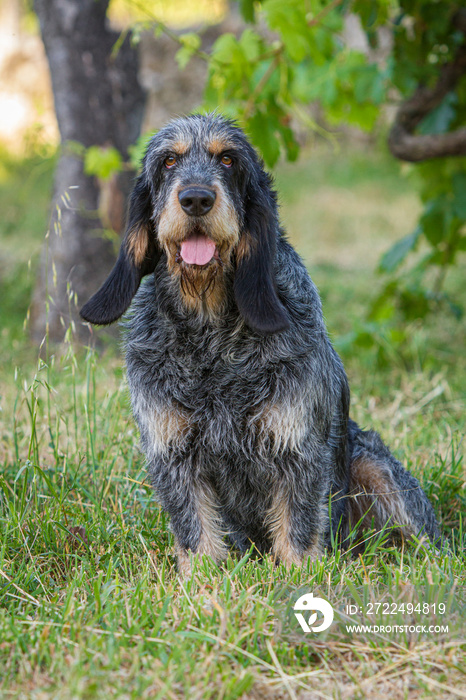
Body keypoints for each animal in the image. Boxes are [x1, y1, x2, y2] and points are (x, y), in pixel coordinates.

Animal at [80, 113, 440, 576]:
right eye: (168, 161)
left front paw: (299, 579)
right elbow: (195, 531)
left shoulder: (298, 453)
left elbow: (298, 531)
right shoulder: (173, 456)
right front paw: (200, 582)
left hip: (372, 465)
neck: (211, 336)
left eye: (228, 160)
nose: (196, 199)